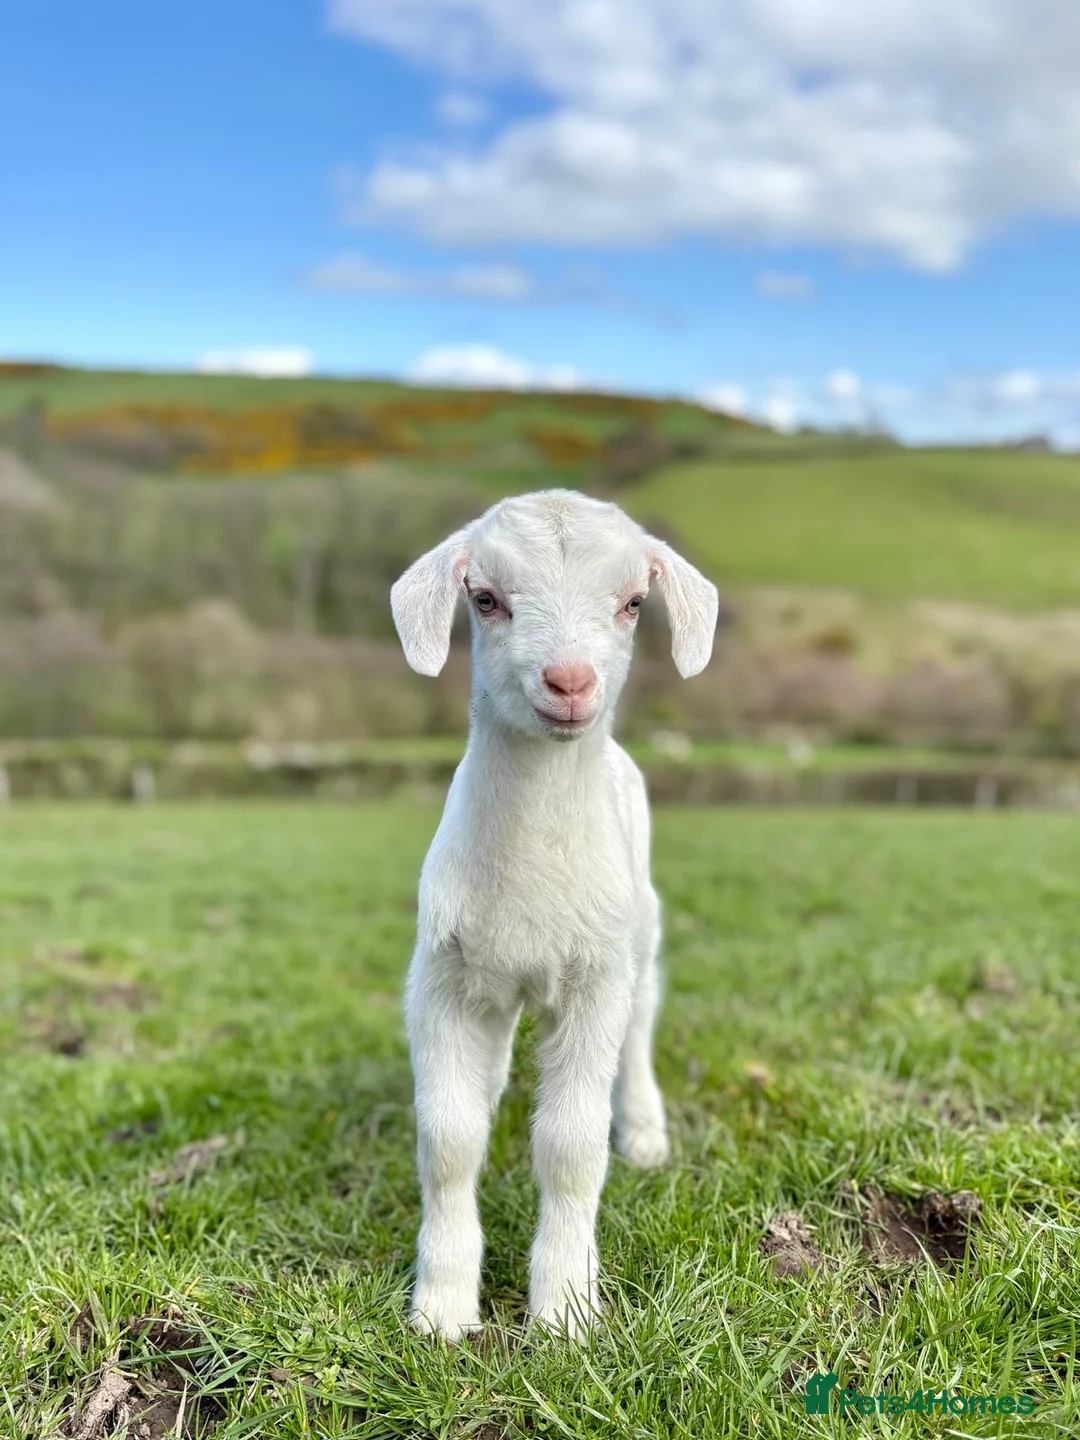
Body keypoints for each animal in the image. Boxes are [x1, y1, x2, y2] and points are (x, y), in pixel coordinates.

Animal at [390, 489, 719, 1340]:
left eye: (633, 602)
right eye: (484, 598)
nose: (569, 681)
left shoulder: (597, 980)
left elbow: (571, 1146)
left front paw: (565, 1308)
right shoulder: (441, 976)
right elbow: (448, 1138)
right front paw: (442, 1307)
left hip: (640, 938)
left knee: (639, 1035)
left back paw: (644, 1132)